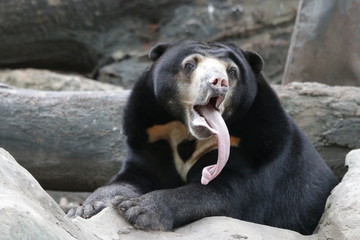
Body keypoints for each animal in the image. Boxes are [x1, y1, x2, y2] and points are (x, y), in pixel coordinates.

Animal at [67, 39, 338, 234]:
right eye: (190, 65)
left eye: (232, 71)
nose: (219, 82)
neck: (186, 132)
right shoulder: (150, 136)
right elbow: (131, 178)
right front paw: (86, 208)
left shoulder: (255, 148)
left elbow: (219, 194)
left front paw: (139, 209)